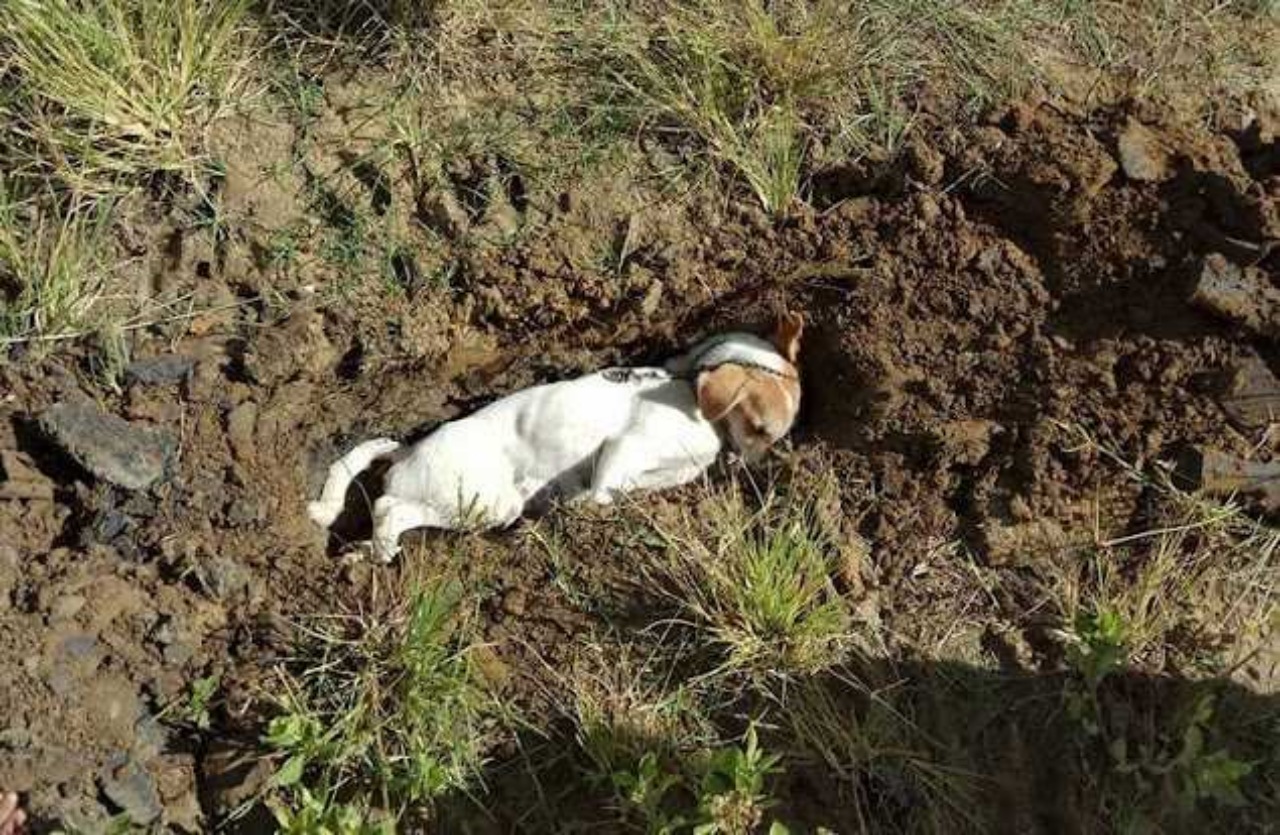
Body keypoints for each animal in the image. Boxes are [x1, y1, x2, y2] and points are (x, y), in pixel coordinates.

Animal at [307, 312, 798, 560]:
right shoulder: (624, 447)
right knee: (389, 508)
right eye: (760, 429)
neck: (691, 388)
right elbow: (599, 492)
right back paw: (382, 549)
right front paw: (578, 511)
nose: (756, 470)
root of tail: (407, 452)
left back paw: (362, 552)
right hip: (486, 503)